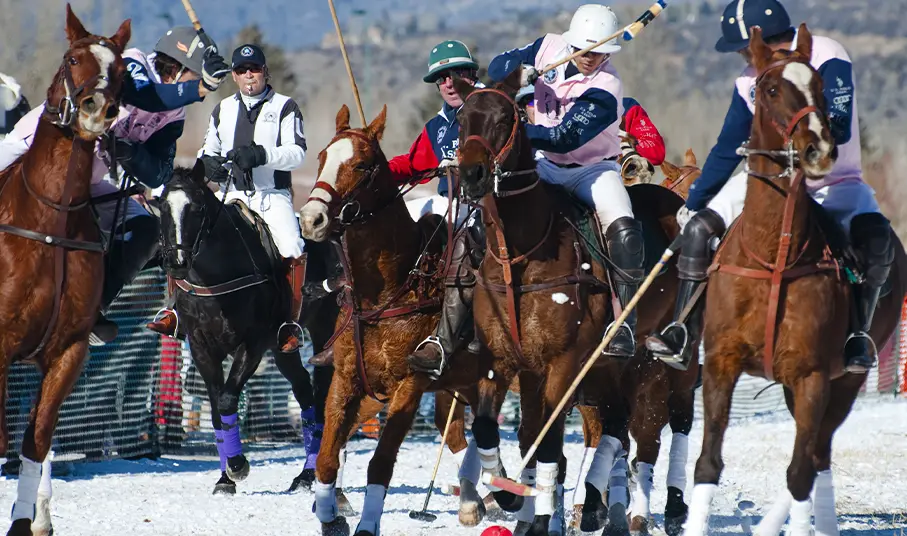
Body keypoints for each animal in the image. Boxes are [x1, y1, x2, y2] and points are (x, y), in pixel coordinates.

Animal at [156, 161, 340, 496]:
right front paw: (225, 477)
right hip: (283, 348)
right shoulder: (202, 347)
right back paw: (303, 474)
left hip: (323, 335)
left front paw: (238, 465)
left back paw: (309, 474)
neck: (215, 278)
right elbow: (217, 409)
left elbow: (228, 399)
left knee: (319, 398)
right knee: (303, 391)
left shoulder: (252, 344)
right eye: (162, 205)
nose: (176, 262)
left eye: (197, 206)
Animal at [300, 104, 494, 536]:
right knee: (460, 431)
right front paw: (330, 517)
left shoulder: (409, 384)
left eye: (362, 164)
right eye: (321, 157)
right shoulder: (350, 379)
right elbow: (327, 455)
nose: (311, 218)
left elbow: (380, 463)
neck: (388, 291)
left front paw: (366, 524)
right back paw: (472, 500)